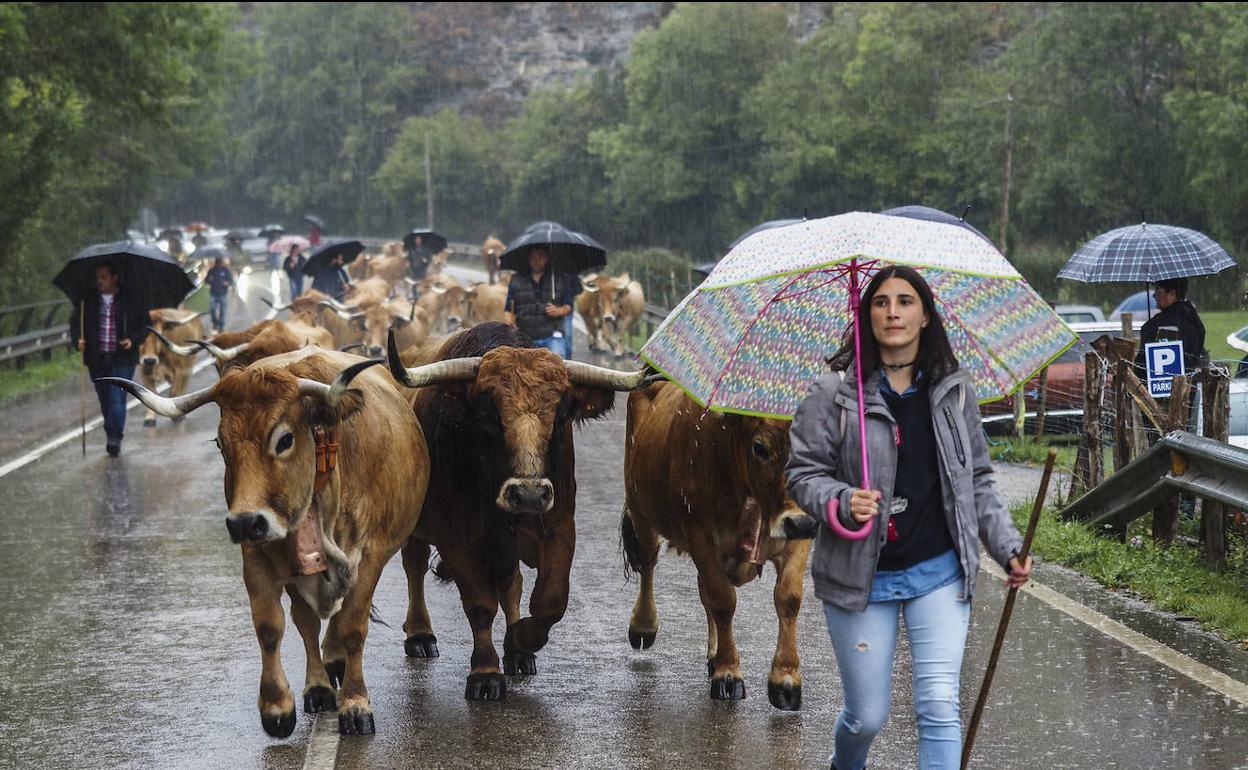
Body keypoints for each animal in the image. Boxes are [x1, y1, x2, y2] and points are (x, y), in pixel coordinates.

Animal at [384, 321, 648, 698]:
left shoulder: (559, 525)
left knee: (512, 583)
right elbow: (479, 603)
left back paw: (517, 654)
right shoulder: (456, 536)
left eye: (561, 416)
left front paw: (520, 642)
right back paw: (420, 634)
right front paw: (485, 672)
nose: (528, 494)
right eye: (489, 416)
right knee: (415, 567)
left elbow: (550, 600)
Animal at [624, 381, 818, 708]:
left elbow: (788, 599)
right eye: (759, 447)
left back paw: (713, 654)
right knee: (649, 564)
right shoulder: (700, 537)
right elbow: (723, 601)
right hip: (642, 512)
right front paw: (728, 675)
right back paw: (644, 624)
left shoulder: (798, 537)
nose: (801, 522)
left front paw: (786, 679)